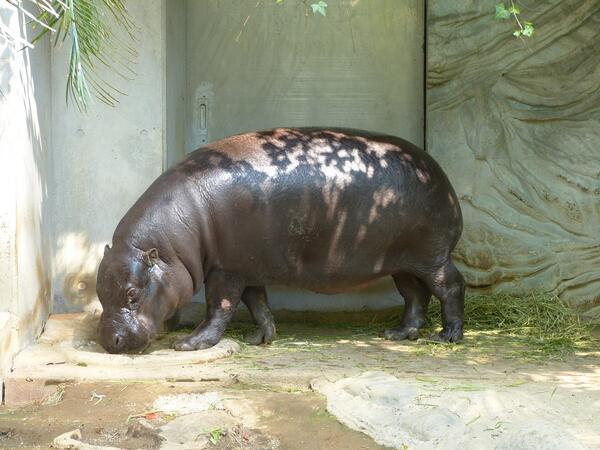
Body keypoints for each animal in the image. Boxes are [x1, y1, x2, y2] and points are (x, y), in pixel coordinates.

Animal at [97, 125, 464, 352]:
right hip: (401, 260)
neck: (170, 247)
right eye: (99, 291)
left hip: (432, 256)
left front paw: (188, 344)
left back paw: (448, 337)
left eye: (132, 294)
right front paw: (261, 337)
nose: (107, 340)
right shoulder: (246, 266)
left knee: (449, 286)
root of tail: (441, 175)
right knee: (415, 294)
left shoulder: (225, 269)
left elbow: (219, 307)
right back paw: (398, 334)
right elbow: (258, 303)